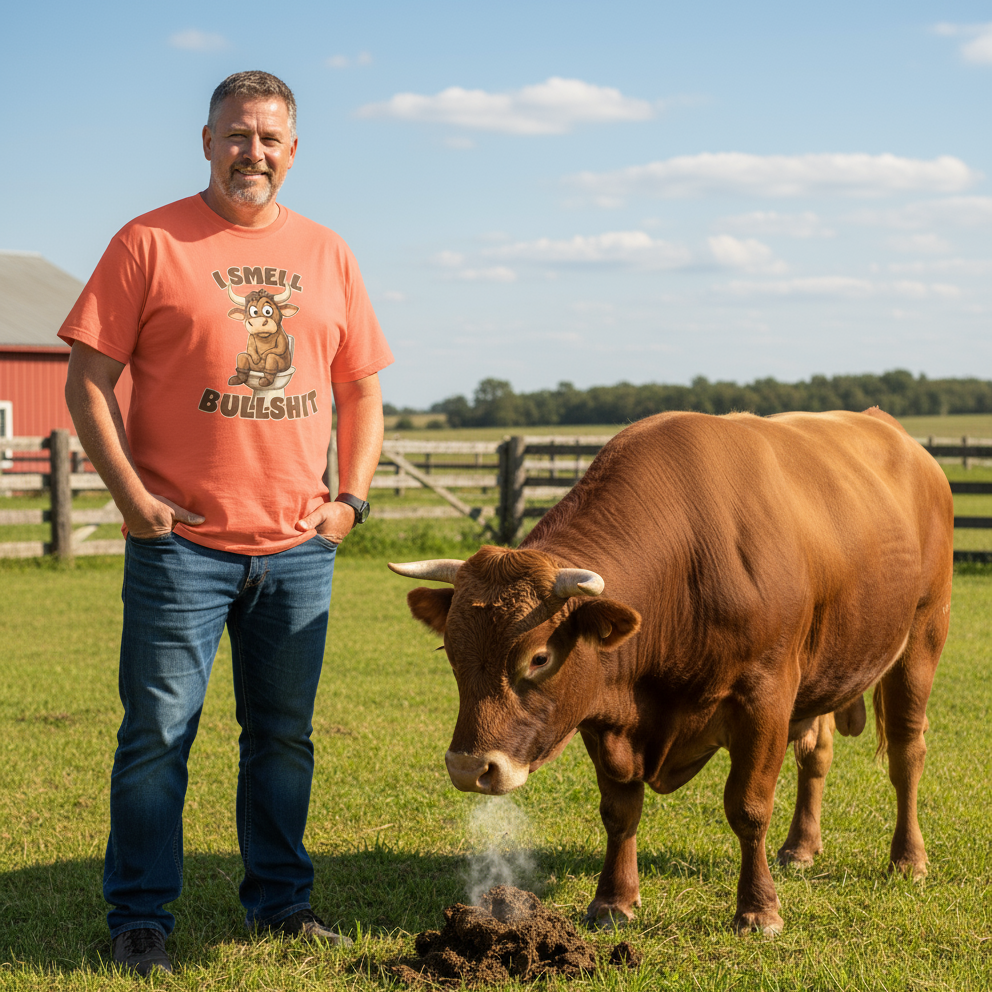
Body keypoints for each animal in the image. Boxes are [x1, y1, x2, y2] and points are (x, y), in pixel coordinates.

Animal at [389, 408, 954, 934]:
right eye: (450, 651)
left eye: (540, 657)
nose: (469, 768)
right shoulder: (605, 715)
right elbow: (619, 811)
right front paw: (613, 901)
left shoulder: (765, 698)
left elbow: (748, 807)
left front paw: (758, 910)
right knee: (816, 753)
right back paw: (801, 847)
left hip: (923, 637)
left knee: (907, 752)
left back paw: (908, 859)